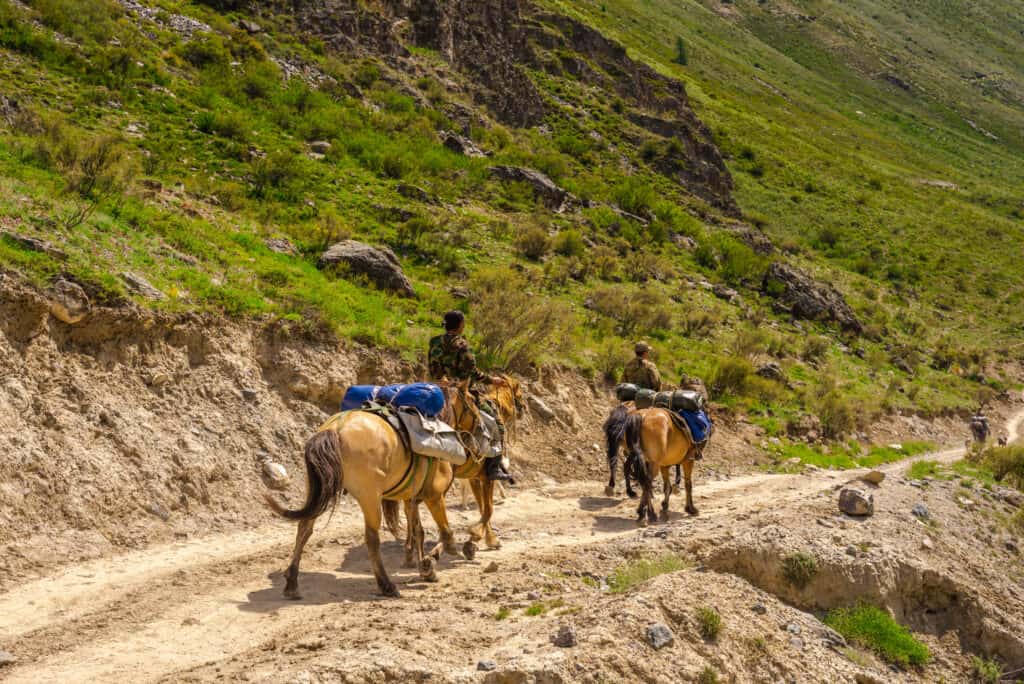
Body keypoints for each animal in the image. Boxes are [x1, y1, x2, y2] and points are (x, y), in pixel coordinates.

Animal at [262, 385, 473, 597]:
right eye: (471, 404)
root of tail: (336, 428)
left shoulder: (410, 499)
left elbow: (418, 532)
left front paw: (425, 567)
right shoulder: (434, 496)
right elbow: (445, 534)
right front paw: (435, 559)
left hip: (318, 490)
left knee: (304, 527)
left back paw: (292, 583)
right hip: (369, 497)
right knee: (372, 539)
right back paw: (386, 585)